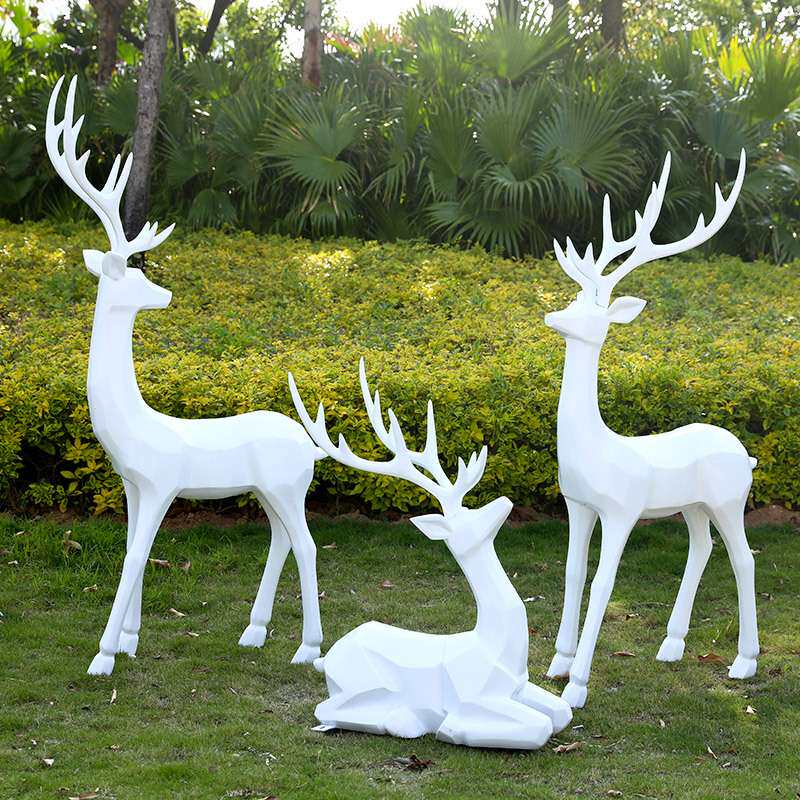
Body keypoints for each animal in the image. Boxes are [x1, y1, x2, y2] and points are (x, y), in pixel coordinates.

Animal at [46, 75, 325, 676]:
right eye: (133, 274)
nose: (167, 293)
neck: (134, 426)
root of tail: (312, 447)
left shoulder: (161, 484)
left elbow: (136, 555)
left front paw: (103, 656)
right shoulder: (131, 485)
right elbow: (133, 551)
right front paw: (129, 640)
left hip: (288, 486)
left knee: (308, 545)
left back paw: (308, 650)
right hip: (270, 490)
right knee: (282, 540)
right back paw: (254, 633)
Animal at [288, 359, 573, 748]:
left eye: (469, 506)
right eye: (463, 519)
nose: (505, 501)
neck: (494, 649)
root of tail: (327, 659)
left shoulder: (519, 688)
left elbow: (562, 712)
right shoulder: (474, 697)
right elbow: (539, 727)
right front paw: (453, 730)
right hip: (363, 683)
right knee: (326, 711)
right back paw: (406, 719)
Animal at [542, 150, 759, 708]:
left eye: (595, 311)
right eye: (572, 300)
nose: (553, 316)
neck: (594, 447)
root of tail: (745, 453)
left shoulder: (621, 511)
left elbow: (603, 582)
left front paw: (577, 688)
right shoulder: (577, 504)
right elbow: (573, 573)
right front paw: (557, 663)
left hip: (730, 500)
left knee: (744, 559)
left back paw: (743, 663)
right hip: (694, 506)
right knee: (702, 549)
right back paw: (672, 645)